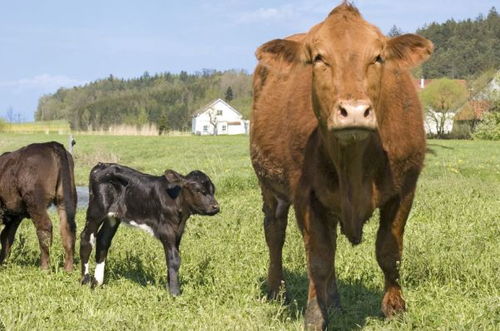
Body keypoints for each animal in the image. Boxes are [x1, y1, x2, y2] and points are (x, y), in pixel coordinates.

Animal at [0, 141, 77, 272]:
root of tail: (51, 144)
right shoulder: (15, 215)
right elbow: (6, 236)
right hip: (66, 199)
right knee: (67, 228)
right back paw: (68, 269)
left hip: (35, 201)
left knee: (45, 228)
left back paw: (44, 268)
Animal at [79, 163, 218, 296]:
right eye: (198, 190)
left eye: (213, 190)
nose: (216, 207)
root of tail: (102, 165)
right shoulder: (166, 230)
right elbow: (174, 260)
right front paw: (175, 292)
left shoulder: (178, 231)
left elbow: (173, 257)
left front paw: (170, 287)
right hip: (96, 210)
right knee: (86, 238)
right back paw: (85, 280)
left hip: (113, 216)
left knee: (103, 240)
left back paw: (97, 282)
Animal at [250, 1, 434, 330]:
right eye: (319, 58)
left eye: (378, 57)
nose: (355, 111)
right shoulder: (306, 195)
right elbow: (318, 260)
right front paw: (314, 315)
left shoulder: (405, 189)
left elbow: (389, 252)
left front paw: (395, 308)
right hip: (270, 188)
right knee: (275, 232)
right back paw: (276, 290)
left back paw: (333, 301)